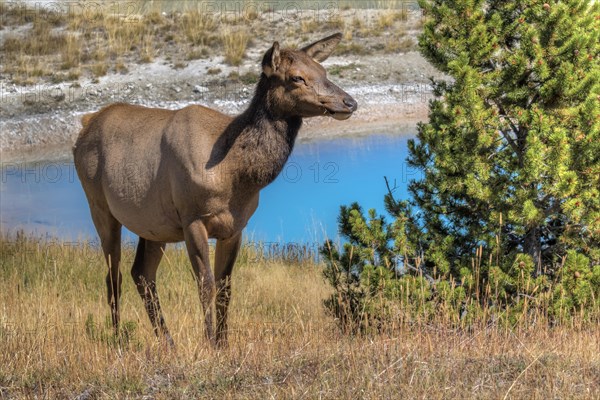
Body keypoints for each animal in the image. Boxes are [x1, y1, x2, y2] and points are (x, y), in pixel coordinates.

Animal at [74, 33, 356, 346]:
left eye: (323, 71)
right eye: (297, 77)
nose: (349, 102)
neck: (235, 175)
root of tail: (85, 124)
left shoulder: (235, 227)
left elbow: (225, 287)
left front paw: (223, 343)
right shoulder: (192, 219)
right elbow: (205, 284)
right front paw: (208, 341)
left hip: (153, 224)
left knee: (142, 274)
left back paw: (167, 342)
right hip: (99, 206)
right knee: (114, 276)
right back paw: (118, 338)